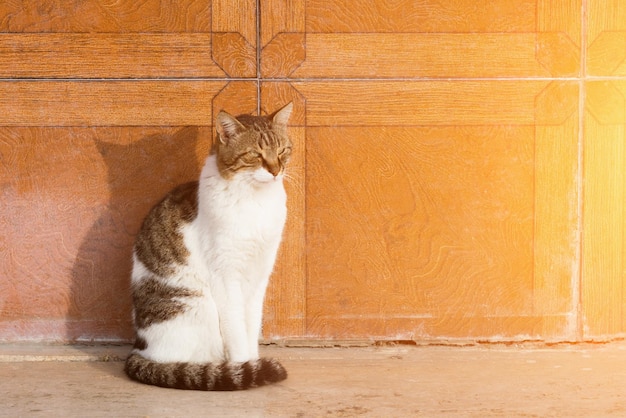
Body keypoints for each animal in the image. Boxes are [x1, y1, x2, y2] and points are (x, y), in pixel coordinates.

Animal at [125, 103, 294, 390]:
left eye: (283, 150)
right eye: (255, 154)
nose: (275, 171)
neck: (256, 201)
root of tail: (140, 349)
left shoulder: (259, 276)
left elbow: (251, 327)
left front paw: (253, 362)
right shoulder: (225, 276)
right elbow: (237, 332)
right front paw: (245, 368)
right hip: (196, 308)